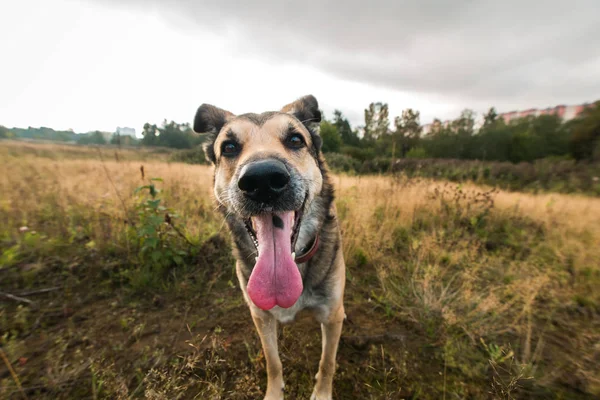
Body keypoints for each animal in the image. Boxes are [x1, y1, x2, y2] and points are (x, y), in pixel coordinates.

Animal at [195, 95, 344, 398]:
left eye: (296, 140)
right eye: (229, 147)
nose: (262, 180)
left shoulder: (333, 316)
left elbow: (327, 362)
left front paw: (322, 392)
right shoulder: (260, 316)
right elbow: (272, 360)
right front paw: (275, 392)